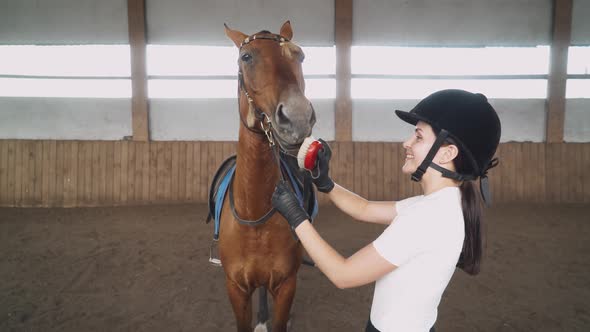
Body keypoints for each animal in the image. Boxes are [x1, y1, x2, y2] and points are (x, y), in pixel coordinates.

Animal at [219, 22, 320, 330]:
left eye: (300, 57)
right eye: (246, 57)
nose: (297, 118)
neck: (255, 216)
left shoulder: (286, 285)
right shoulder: (236, 289)